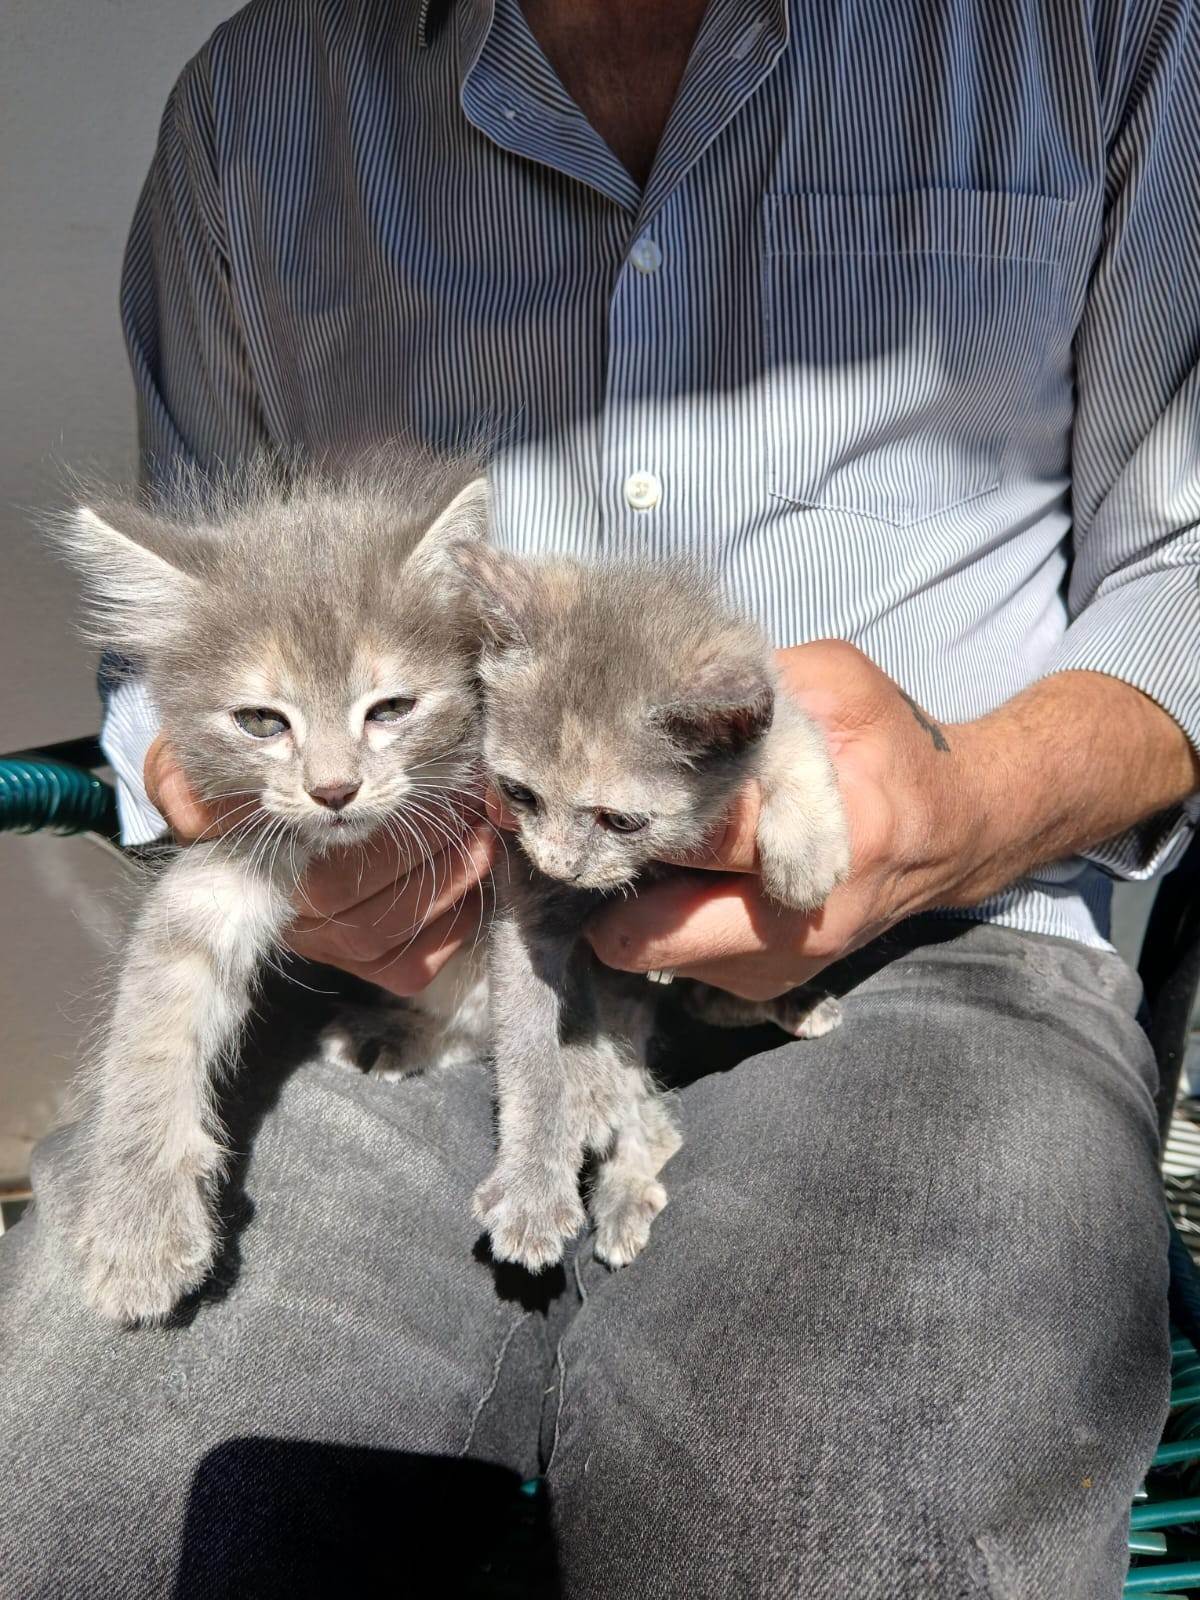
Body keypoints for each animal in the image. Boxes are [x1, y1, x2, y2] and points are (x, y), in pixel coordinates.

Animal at [53, 452, 492, 1323]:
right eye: (261, 722)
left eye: (391, 708)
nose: (334, 789)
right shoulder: (223, 867)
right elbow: (153, 1018)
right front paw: (135, 1223)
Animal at [449, 546, 850, 1272]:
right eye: (519, 794)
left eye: (622, 820)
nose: (559, 865)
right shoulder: (525, 918)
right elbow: (530, 1057)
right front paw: (532, 1187)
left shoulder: (770, 709)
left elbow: (793, 741)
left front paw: (808, 848)